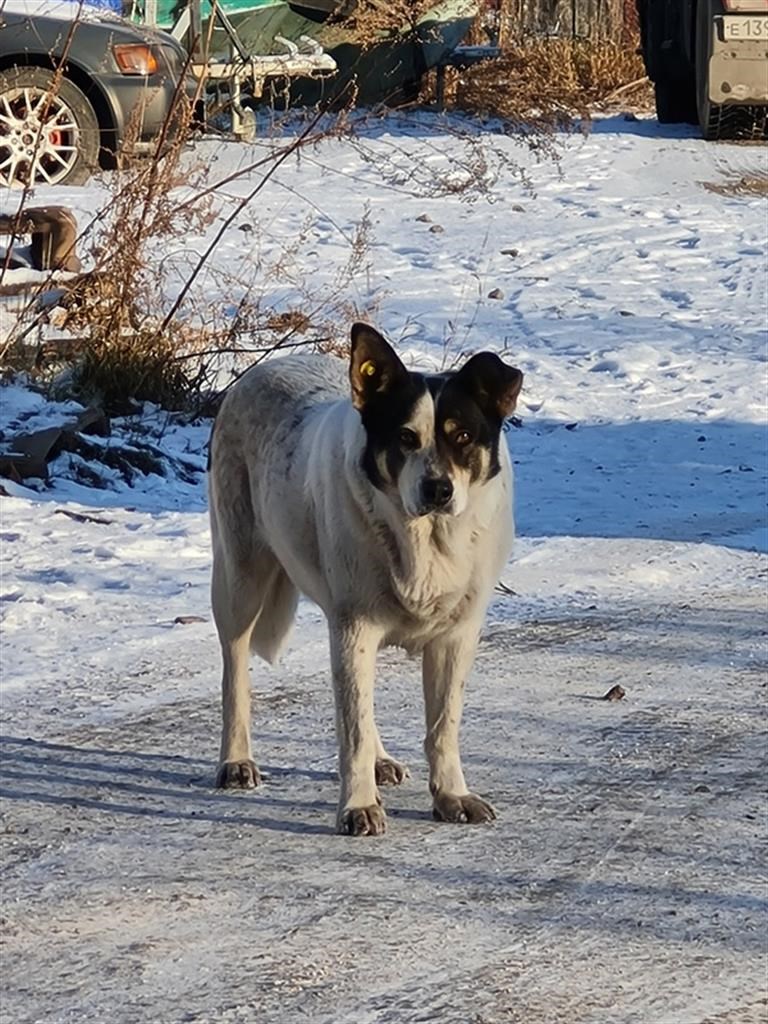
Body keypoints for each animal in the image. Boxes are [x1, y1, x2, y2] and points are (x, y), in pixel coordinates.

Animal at [207, 323, 528, 835]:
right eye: (404, 437)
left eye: (462, 435)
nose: (438, 489)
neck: (424, 541)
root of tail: (263, 369)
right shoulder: (354, 627)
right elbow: (353, 727)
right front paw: (358, 806)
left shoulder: (455, 637)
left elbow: (442, 726)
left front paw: (451, 796)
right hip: (241, 578)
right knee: (235, 669)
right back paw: (236, 761)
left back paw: (380, 760)